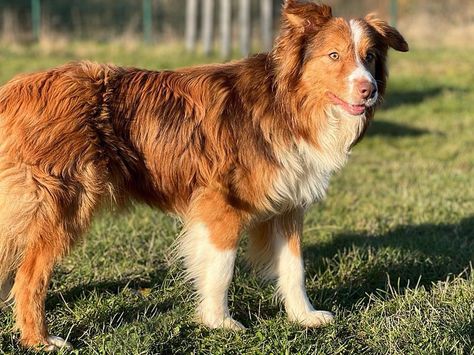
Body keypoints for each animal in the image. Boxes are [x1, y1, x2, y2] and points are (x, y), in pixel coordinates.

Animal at [0, 0, 408, 350]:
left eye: (370, 56)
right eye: (334, 55)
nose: (368, 89)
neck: (286, 105)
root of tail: (15, 89)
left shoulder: (288, 206)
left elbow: (294, 268)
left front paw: (304, 316)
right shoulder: (221, 204)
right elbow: (222, 268)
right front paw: (220, 322)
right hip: (64, 204)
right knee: (28, 276)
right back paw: (40, 340)